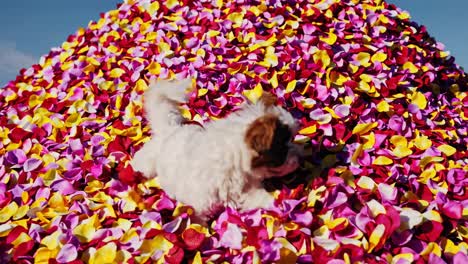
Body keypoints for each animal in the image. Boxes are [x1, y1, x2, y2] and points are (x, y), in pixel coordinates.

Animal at [130, 79, 302, 223]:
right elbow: (197, 221)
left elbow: (258, 197)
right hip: (147, 164)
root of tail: (170, 129)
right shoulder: (201, 204)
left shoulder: (244, 191)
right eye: (282, 149)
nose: (300, 157)